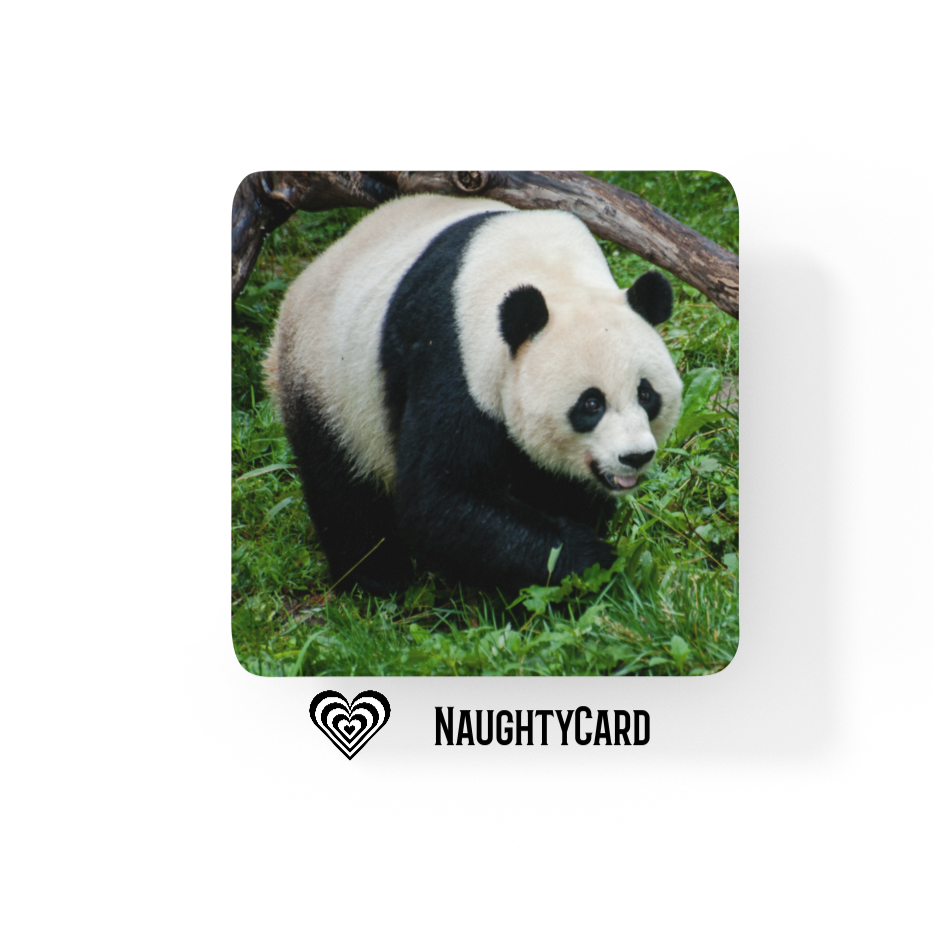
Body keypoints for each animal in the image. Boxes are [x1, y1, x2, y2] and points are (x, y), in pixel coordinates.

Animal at [265, 193, 682, 596]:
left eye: (647, 395)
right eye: (591, 404)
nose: (634, 457)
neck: (554, 274)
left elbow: (557, 484)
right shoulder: (451, 353)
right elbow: (441, 496)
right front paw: (590, 559)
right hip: (328, 381)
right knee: (342, 487)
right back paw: (375, 579)